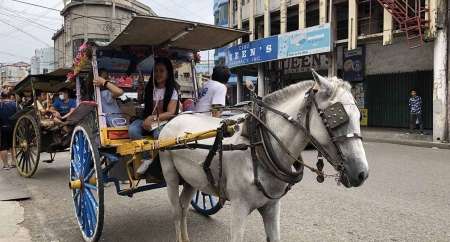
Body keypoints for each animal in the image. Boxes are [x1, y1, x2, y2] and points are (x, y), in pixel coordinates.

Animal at [159, 73, 370, 242]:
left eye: (359, 116)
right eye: (336, 118)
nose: (362, 174)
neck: (259, 146)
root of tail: (175, 118)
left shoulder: (272, 206)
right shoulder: (239, 208)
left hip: (190, 180)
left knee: (184, 206)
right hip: (170, 173)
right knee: (176, 211)